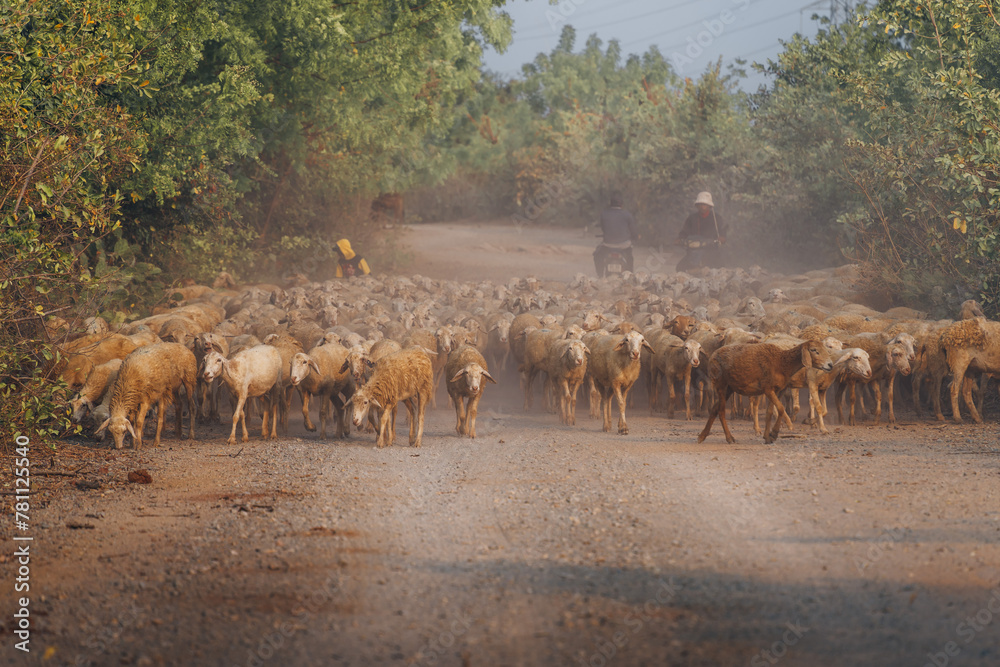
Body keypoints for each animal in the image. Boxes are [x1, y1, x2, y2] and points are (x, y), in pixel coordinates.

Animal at [697, 339, 835, 444]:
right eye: (814, 350)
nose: (830, 365)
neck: (782, 363)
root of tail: (712, 356)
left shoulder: (778, 390)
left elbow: (770, 412)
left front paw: (767, 437)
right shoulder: (768, 388)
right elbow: (781, 409)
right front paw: (774, 434)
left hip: (729, 388)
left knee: (714, 409)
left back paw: (702, 436)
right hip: (720, 383)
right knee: (721, 411)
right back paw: (729, 438)